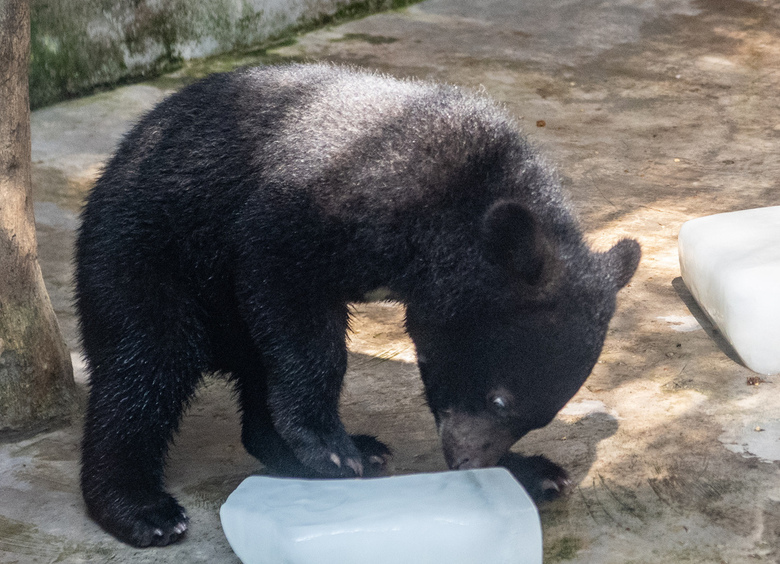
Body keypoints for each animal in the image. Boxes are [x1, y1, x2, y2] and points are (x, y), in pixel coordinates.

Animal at [75, 63, 640, 548]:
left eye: (537, 418)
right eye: (500, 399)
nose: (467, 462)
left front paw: (537, 471)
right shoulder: (315, 206)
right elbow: (291, 300)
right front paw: (329, 445)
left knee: (247, 375)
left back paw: (345, 450)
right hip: (145, 258)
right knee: (143, 369)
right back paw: (143, 508)